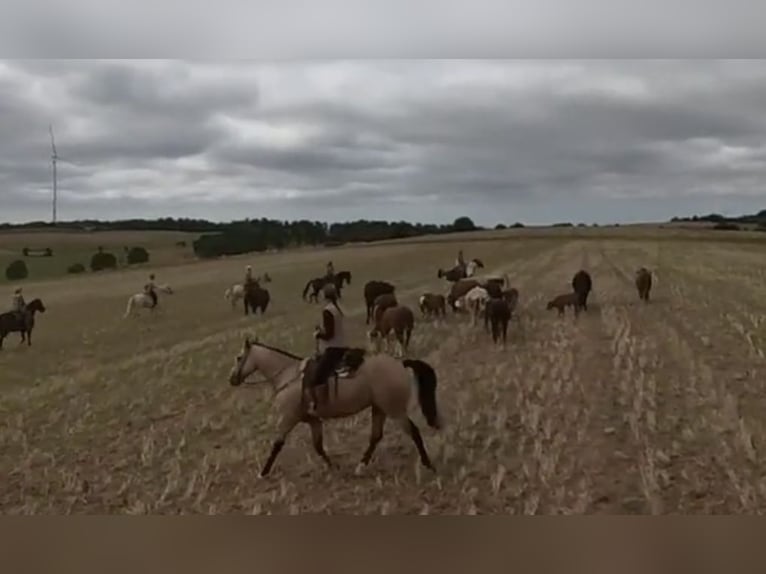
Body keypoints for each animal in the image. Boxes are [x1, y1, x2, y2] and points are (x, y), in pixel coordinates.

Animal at [227, 336, 442, 476]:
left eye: (238, 357)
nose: (232, 379)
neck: (289, 376)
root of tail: (399, 363)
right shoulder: (313, 421)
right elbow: (318, 446)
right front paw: (333, 467)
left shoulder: (288, 419)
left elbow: (277, 444)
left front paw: (263, 473)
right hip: (379, 408)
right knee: (375, 437)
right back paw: (360, 467)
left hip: (394, 410)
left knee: (413, 432)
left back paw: (429, 465)